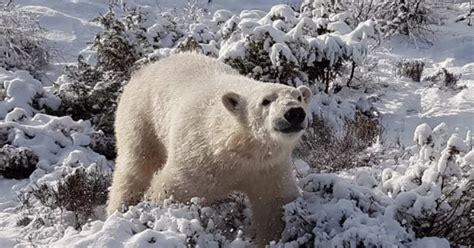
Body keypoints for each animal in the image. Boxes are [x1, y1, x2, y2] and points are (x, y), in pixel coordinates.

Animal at [109, 53, 312, 245]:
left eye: (299, 97)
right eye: (266, 101)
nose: (294, 112)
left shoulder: (267, 168)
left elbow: (274, 205)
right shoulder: (198, 159)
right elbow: (170, 189)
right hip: (141, 120)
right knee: (135, 169)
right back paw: (119, 211)